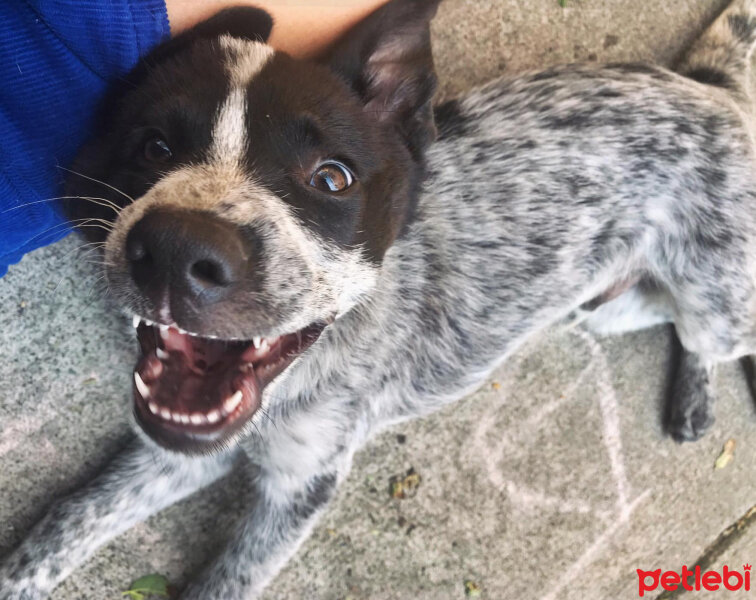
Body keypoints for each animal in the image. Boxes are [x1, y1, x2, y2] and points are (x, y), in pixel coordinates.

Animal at [1, 1, 756, 596]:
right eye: (153, 146)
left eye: (332, 178)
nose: (177, 251)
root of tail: (709, 88)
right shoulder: (184, 444)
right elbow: (73, 515)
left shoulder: (304, 482)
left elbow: (229, 580)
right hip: (602, 304)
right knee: (657, 312)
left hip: (715, 300)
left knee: (713, 333)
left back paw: (698, 395)